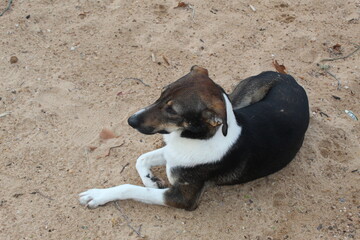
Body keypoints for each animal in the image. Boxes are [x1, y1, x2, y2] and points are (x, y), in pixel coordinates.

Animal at [79, 65, 310, 210]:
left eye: (172, 111)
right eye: (162, 93)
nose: (131, 121)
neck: (195, 138)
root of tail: (290, 78)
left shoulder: (182, 198)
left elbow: (129, 187)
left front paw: (98, 195)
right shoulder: (172, 153)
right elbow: (141, 159)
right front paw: (151, 181)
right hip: (239, 97)